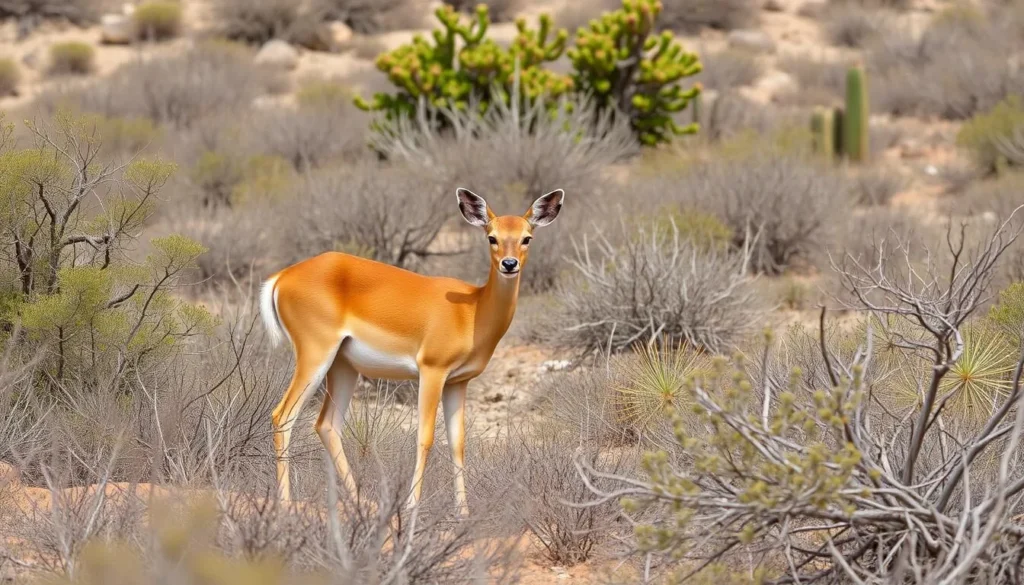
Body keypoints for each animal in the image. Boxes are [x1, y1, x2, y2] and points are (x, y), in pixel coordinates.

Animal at [259, 188, 564, 515]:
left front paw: (463, 513)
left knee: (327, 426)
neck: (472, 310)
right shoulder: (432, 372)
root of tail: (282, 276)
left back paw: (361, 503)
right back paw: (285, 504)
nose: (509, 264)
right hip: (315, 356)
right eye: (491, 237)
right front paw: (411, 507)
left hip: (343, 367)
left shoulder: (458, 382)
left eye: (526, 237)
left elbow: (457, 442)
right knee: (283, 416)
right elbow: (425, 437)